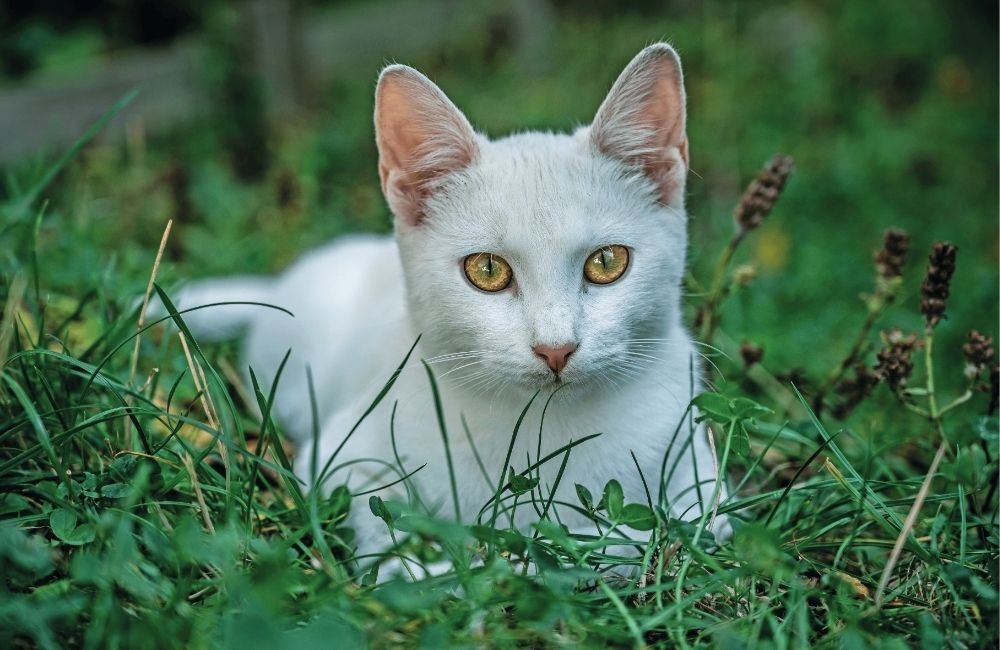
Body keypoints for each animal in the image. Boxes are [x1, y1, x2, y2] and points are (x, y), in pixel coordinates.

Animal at [172, 44, 732, 560]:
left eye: (607, 262)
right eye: (487, 270)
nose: (556, 349)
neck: (547, 434)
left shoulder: (693, 450)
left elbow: (701, 520)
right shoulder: (334, 459)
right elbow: (374, 519)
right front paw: (420, 568)